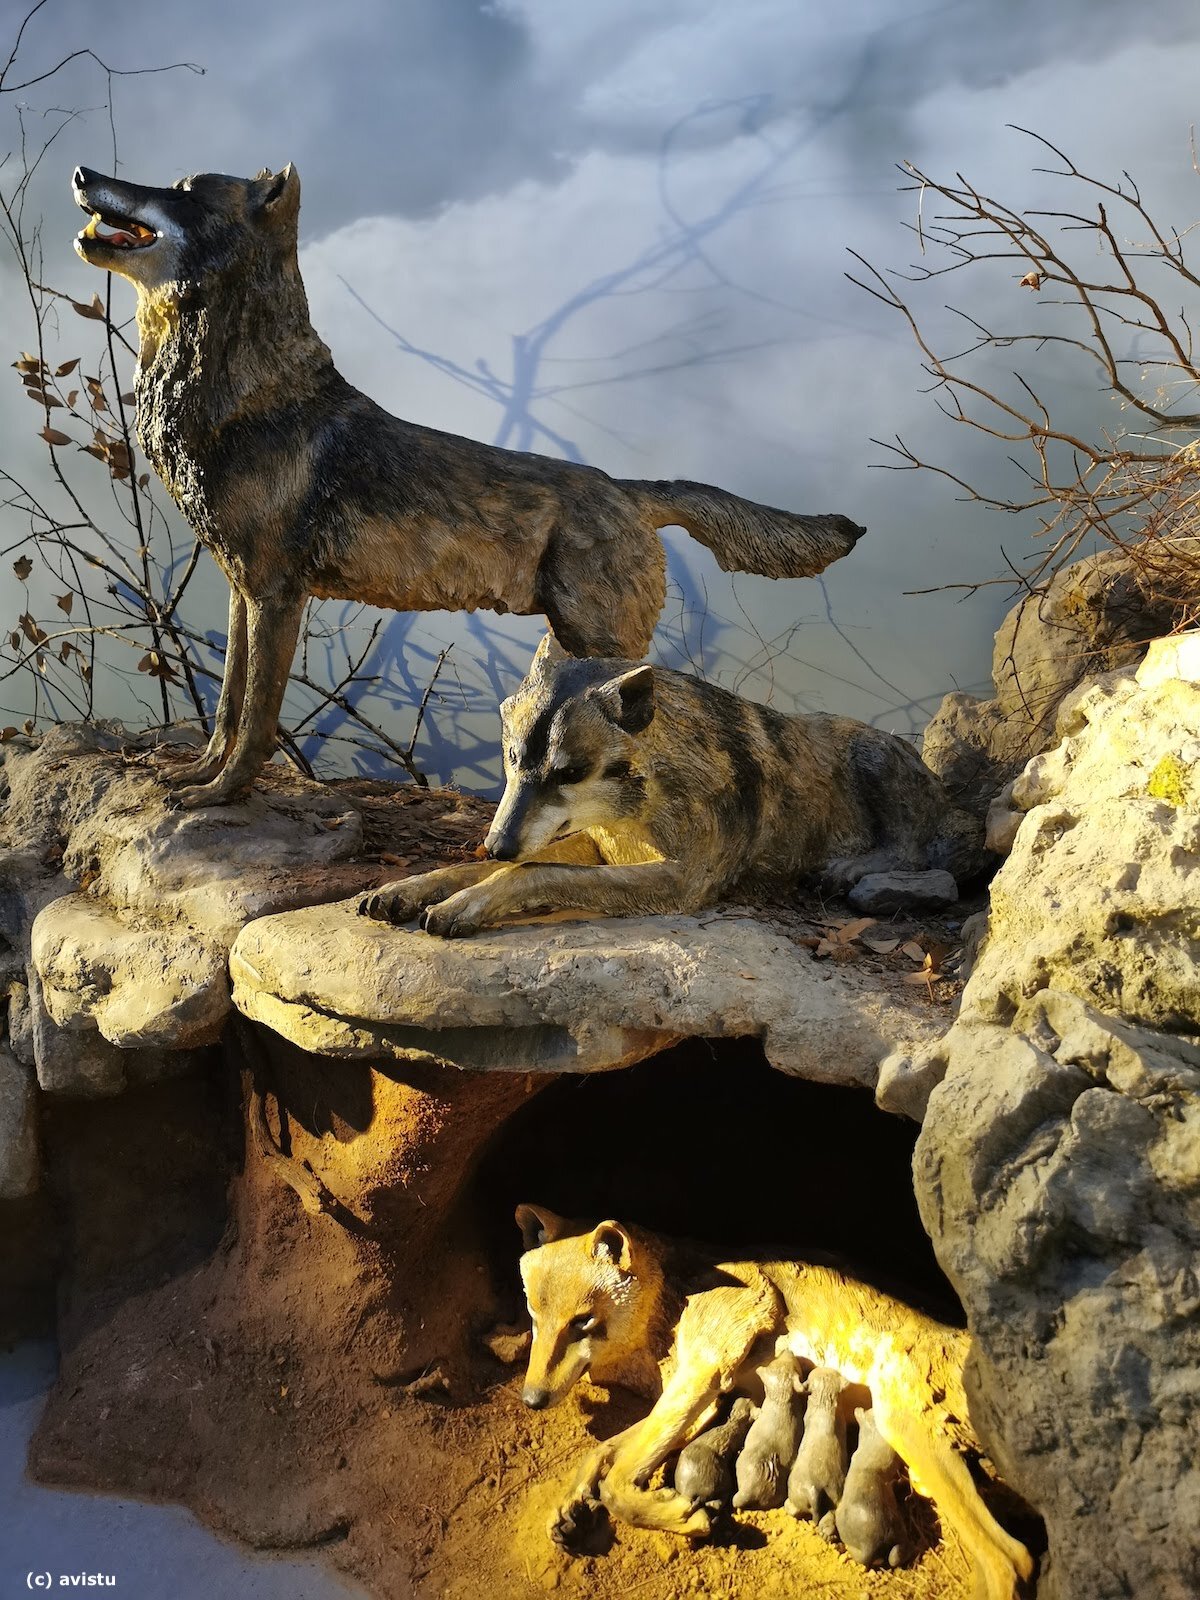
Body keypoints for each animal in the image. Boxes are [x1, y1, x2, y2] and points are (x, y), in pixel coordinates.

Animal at [71, 162, 863, 808]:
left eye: (180, 191)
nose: (82, 173)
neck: (246, 398)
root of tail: (626, 488)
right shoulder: (243, 591)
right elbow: (227, 707)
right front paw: (198, 776)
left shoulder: (276, 595)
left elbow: (256, 721)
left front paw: (221, 796)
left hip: (603, 645)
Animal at [358, 633, 982, 935]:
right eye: (512, 758)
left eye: (569, 773)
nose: (494, 843)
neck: (640, 804)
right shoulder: (597, 844)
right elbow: (506, 865)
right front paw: (410, 887)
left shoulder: (682, 882)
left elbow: (531, 871)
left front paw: (468, 902)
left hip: (873, 755)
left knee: (914, 849)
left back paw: (850, 868)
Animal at [514, 1203, 1034, 1600]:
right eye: (533, 1317)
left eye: (581, 1322)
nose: (532, 1399)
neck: (673, 1295)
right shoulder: (702, 1398)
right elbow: (602, 1454)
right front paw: (570, 1509)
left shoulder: (702, 1374)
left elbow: (618, 1483)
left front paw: (682, 1516)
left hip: (905, 1429)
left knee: (1014, 1560)